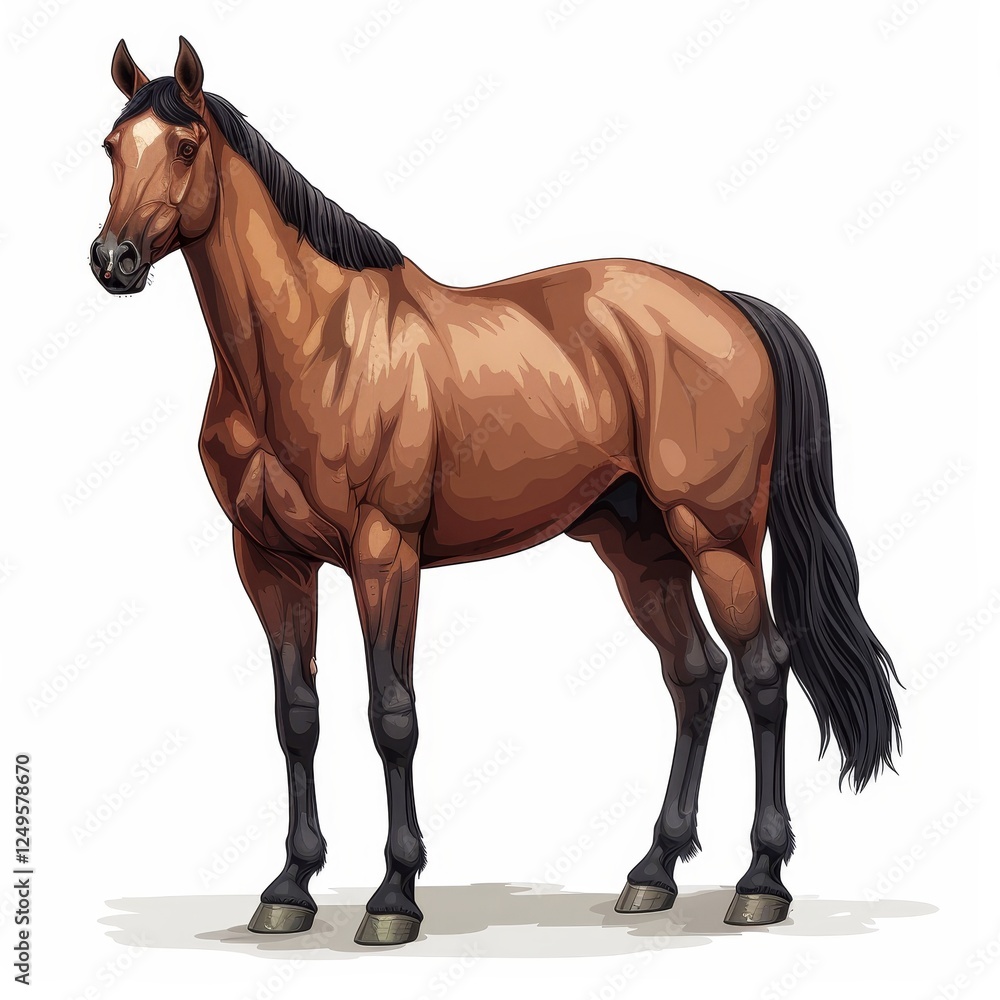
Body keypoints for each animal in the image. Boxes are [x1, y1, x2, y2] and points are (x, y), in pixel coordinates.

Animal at [90, 37, 901, 946]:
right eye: (111, 147)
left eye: (184, 146)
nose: (113, 259)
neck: (313, 346)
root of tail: (728, 305)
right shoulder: (268, 561)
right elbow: (296, 716)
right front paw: (290, 887)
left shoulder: (384, 555)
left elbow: (392, 714)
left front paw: (394, 895)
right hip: (639, 550)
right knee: (694, 675)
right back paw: (653, 871)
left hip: (716, 537)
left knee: (764, 670)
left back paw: (761, 880)